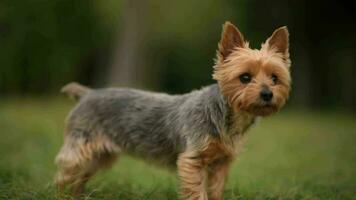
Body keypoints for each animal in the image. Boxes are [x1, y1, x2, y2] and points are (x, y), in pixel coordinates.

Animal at [54, 21, 290, 199]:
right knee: (66, 174)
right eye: (245, 77)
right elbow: (197, 192)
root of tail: (87, 93)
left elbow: (215, 190)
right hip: (81, 146)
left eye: (275, 78)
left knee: (80, 176)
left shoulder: (221, 163)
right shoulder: (192, 161)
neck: (228, 116)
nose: (267, 94)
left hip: (101, 154)